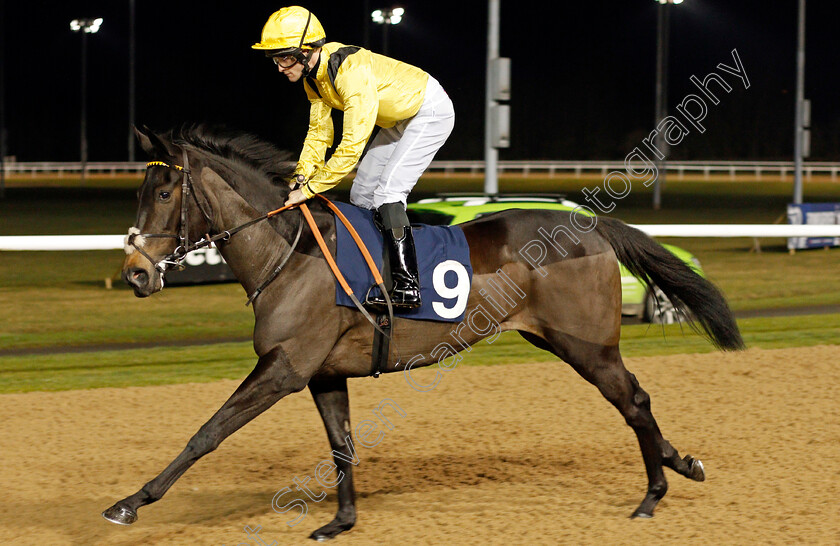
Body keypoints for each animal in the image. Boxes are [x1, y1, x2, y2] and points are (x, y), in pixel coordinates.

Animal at [103, 125, 740, 536]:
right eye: (139, 192)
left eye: (164, 193)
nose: (135, 273)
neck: (291, 252)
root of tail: (590, 225)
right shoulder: (323, 372)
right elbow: (341, 444)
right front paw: (341, 520)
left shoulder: (284, 367)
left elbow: (206, 433)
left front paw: (131, 502)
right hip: (561, 339)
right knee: (637, 402)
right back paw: (682, 464)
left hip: (586, 344)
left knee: (634, 400)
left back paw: (652, 496)